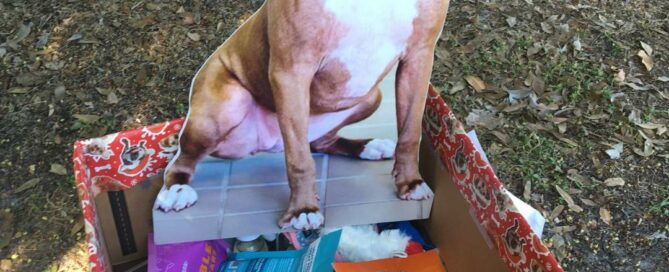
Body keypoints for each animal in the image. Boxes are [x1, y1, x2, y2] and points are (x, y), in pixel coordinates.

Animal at [156, 0, 448, 231]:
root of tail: (269, 144)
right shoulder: (291, 70)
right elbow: (299, 160)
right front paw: (303, 209)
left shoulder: (420, 56)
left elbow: (410, 132)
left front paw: (410, 182)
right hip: (225, 106)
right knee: (180, 158)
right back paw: (175, 190)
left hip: (369, 97)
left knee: (319, 142)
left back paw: (369, 147)